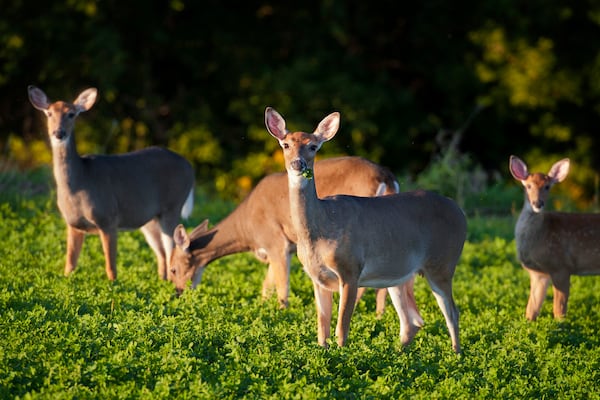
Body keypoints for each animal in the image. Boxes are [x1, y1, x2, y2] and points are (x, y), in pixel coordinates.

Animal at [28, 86, 195, 282]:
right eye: (49, 113)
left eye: (71, 114)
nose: (58, 133)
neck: (80, 182)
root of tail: (190, 167)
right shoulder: (73, 224)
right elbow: (70, 263)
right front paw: (66, 281)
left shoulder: (108, 217)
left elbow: (110, 265)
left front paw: (113, 285)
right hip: (149, 218)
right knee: (161, 253)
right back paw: (161, 281)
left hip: (172, 206)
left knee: (172, 249)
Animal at [169, 156, 396, 312]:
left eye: (172, 269)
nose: (178, 293)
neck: (246, 229)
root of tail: (385, 176)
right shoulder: (279, 249)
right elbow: (266, 286)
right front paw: (263, 308)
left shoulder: (276, 243)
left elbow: (281, 288)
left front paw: (281, 313)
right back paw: (379, 315)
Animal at [264, 107, 466, 354]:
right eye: (285, 144)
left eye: (313, 146)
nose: (297, 163)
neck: (321, 229)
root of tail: (460, 212)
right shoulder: (317, 277)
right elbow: (322, 328)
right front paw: (324, 353)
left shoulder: (350, 269)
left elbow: (341, 327)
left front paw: (342, 355)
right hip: (399, 273)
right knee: (412, 321)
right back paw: (399, 354)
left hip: (442, 263)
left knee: (452, 313)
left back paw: (456, 355)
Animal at [508, 155, 600, 320]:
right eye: (528, 186)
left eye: (547, 187)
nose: (538, 203)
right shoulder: (538, 274)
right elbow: (531, 309)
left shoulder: (561, 266)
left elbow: (559, 310)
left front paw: (561, 326)